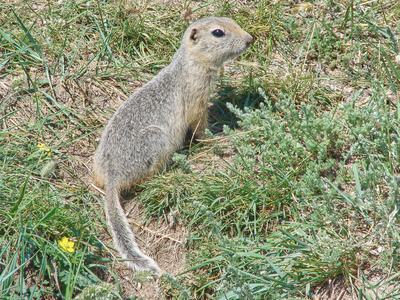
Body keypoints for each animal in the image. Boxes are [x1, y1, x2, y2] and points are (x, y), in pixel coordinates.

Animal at [92, 16, 252, 274]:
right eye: (218, 32)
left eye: (233, 21)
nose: (250, 39)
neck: (188, 64)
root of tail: (111, 177)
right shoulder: (196, 93)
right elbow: (198, 124)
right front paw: (216, 135)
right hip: (156, 141)